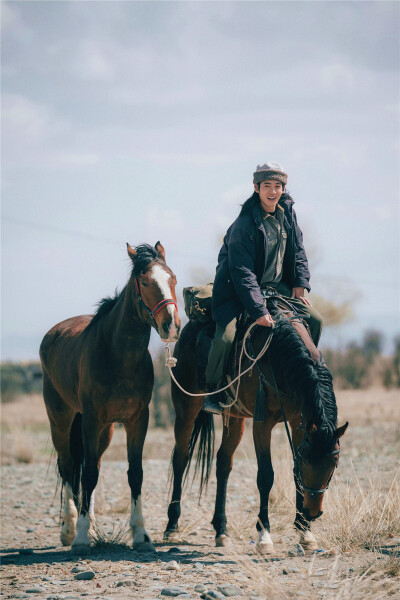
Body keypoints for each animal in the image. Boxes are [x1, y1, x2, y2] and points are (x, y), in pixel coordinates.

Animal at [39, 241, 180, 556]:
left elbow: (134, 472)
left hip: (105, 431)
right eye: (145, 281)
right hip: (61, 420)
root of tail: (53, 334)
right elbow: (87, 474)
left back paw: (89, 524)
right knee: (69, 467)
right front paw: (80, 538)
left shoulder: (137, 419)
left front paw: (141, 535)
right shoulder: (91, 419)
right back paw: (69, 529)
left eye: (173, 278)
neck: (118, 356)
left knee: (91, 466)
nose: (172, 326)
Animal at [165, 300, 346, 552]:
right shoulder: (263, 424)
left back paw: (221, 531)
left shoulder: (299, 424)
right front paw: (264, 535)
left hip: (234, 417)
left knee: (223, 463)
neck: (278, 356)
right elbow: (266, 476)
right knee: (180, 459)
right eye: (309, 462)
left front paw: (305, 532)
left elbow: (294, 473)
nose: (313, 512)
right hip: (186, 410)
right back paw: (172, 526)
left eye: (334, 463)